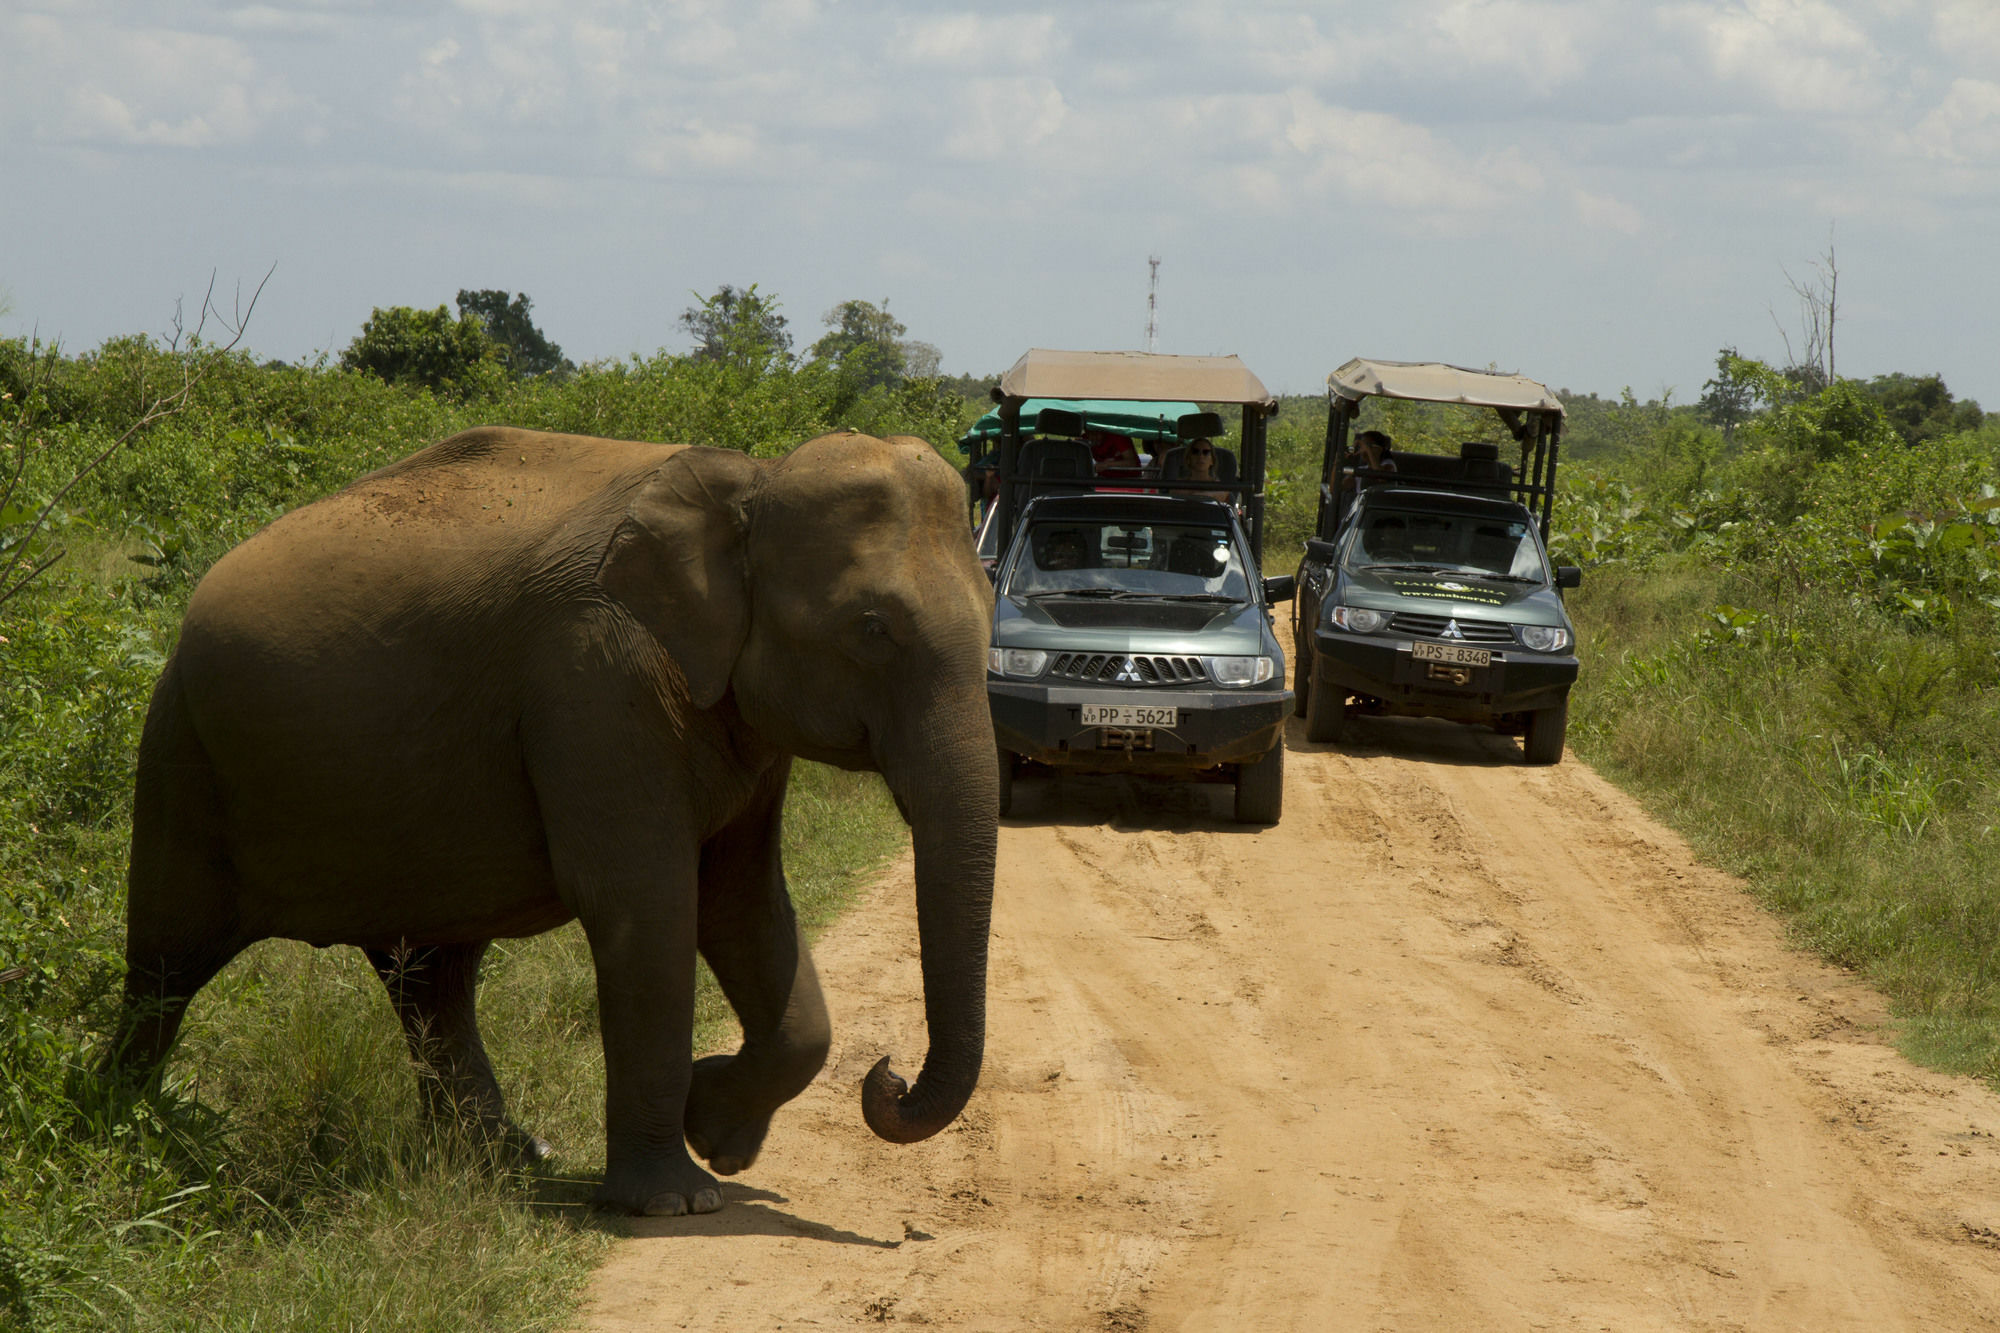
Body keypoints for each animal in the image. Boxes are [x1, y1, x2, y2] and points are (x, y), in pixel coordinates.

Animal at [109, 426, 1000, 1216]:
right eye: (872, 629)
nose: (887, 1073)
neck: (751, 481)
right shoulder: (594, 673)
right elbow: (648, 902)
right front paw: (677, 1198)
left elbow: (742, 900)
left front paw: (717, 1131)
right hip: (180, 747)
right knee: (167, 962)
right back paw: (119, 1130)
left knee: (431, 976)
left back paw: (507, 1156)